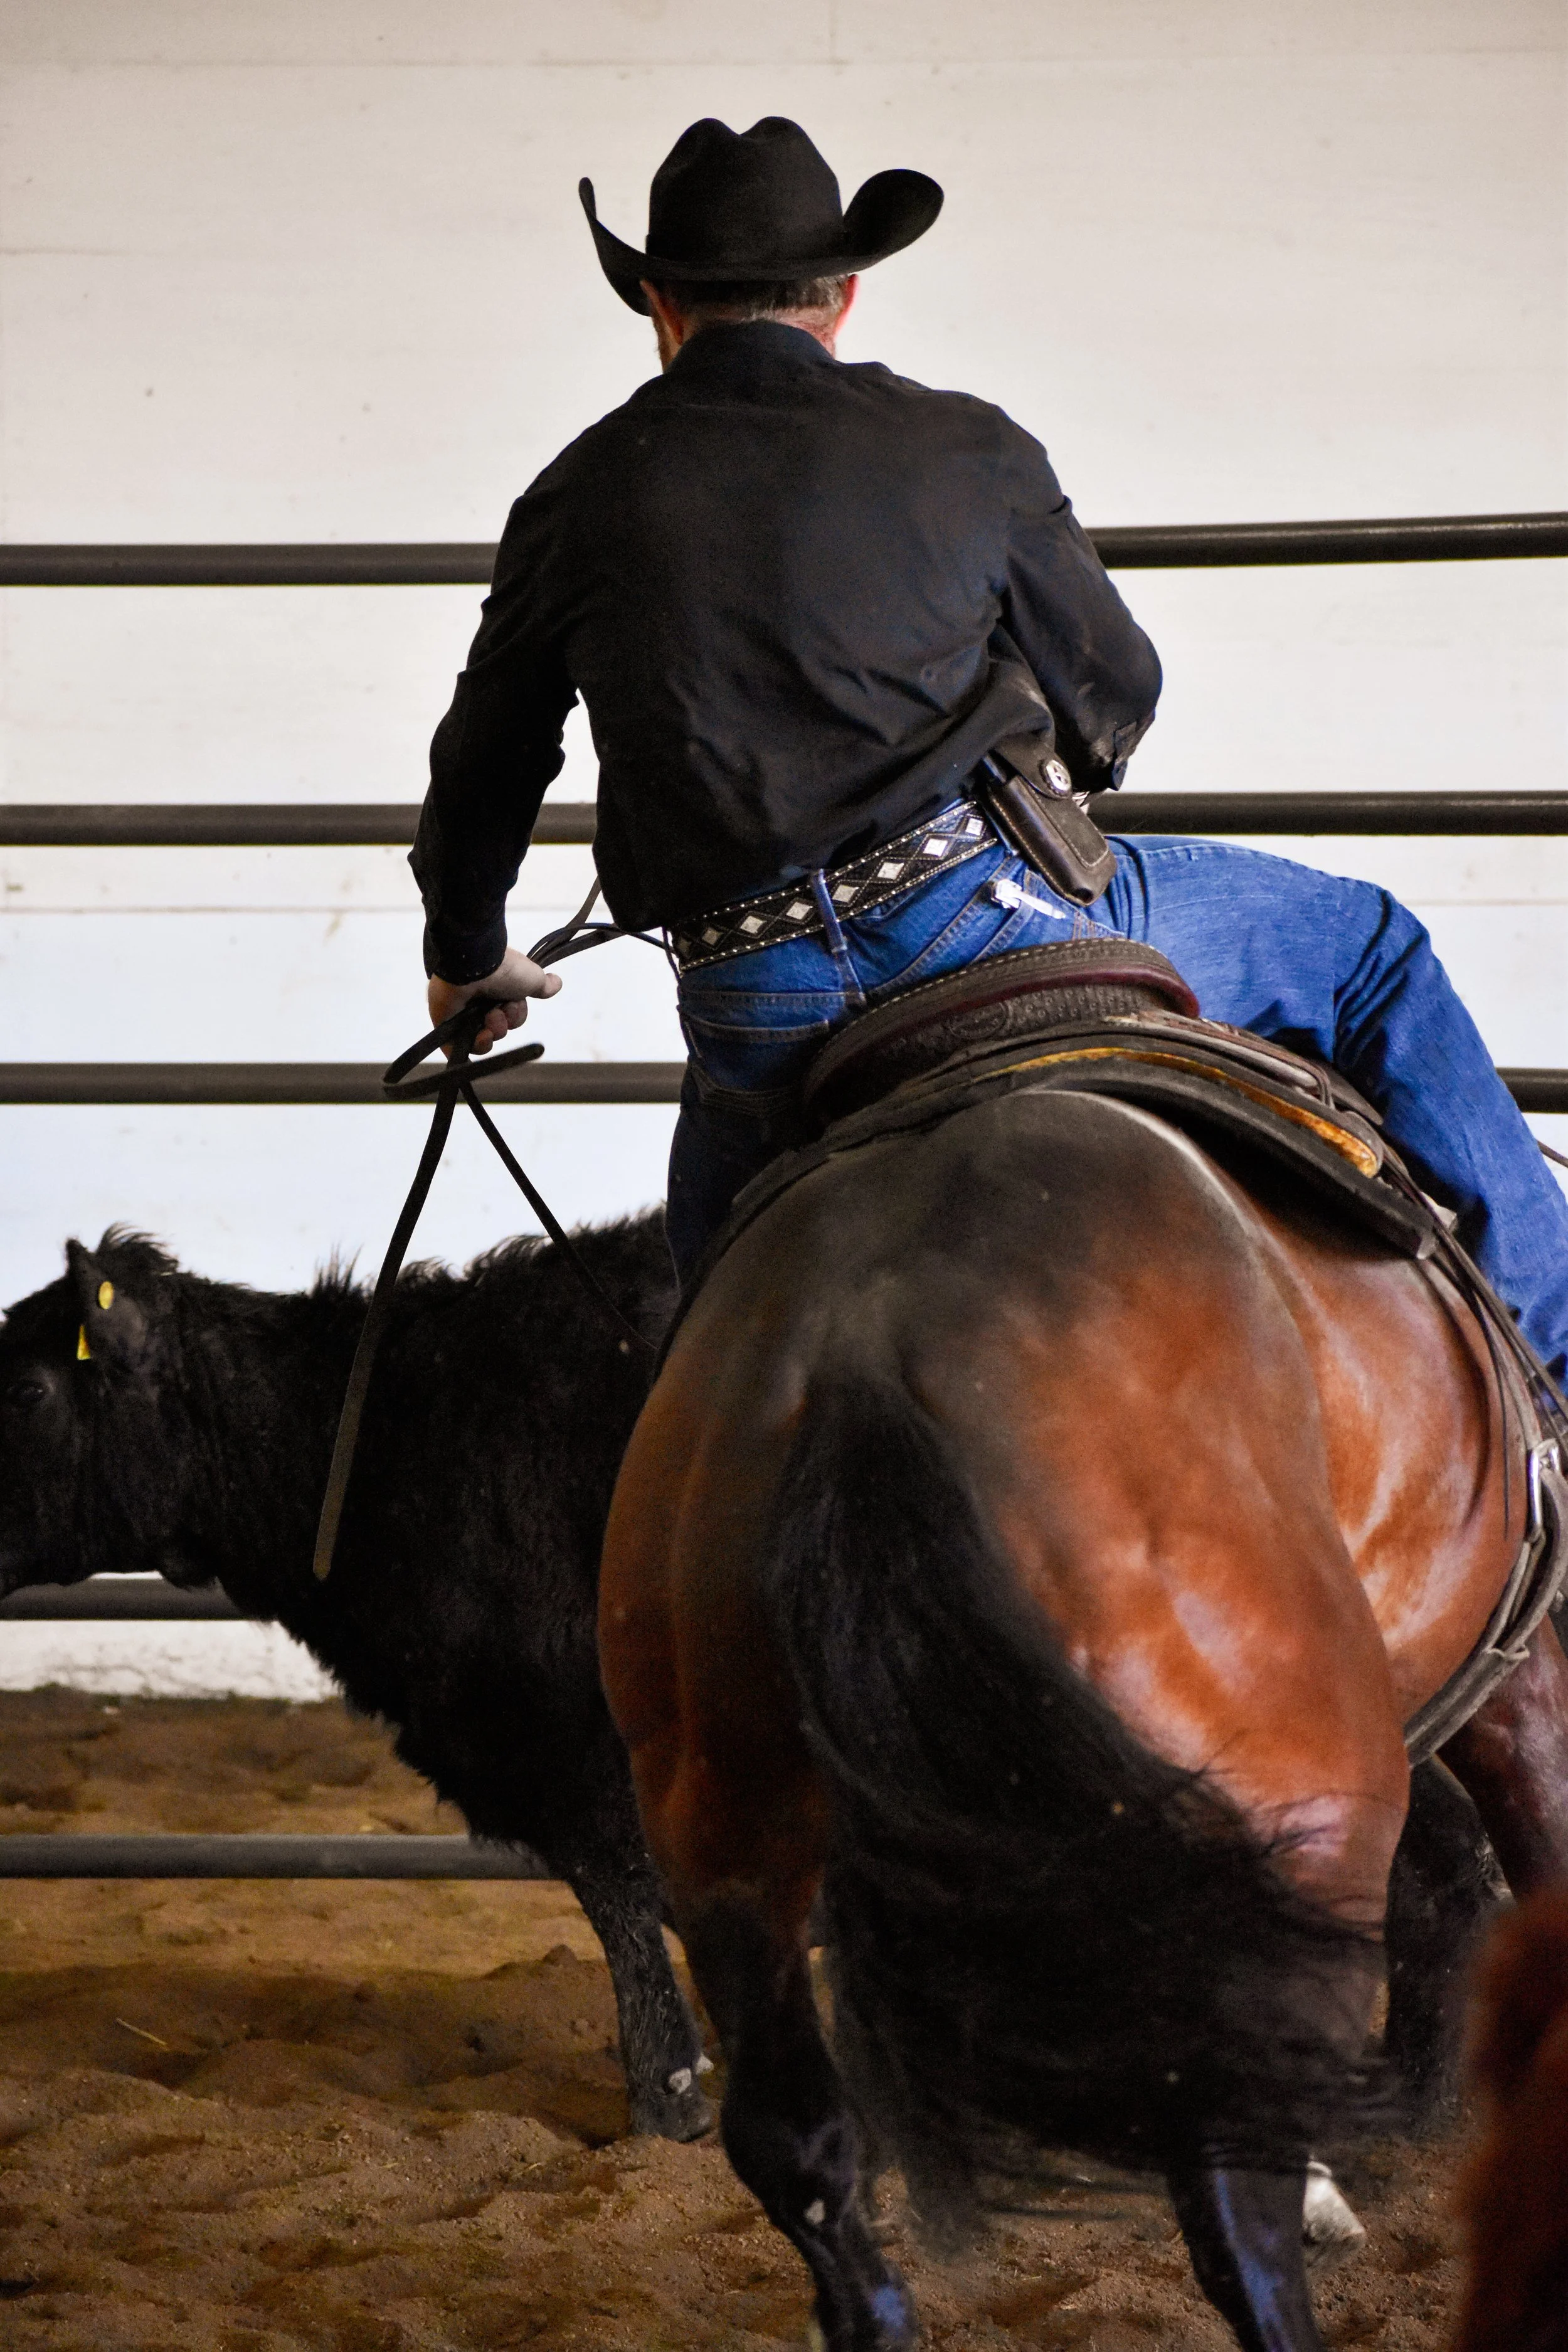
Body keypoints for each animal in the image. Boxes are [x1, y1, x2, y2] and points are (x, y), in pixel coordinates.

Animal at [596, 993, 1568, 2351]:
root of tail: (863, 1348)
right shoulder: (1513, 1672)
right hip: (1303, 1814)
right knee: (1232, 2183)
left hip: (720, 1832)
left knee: (796, 2140)